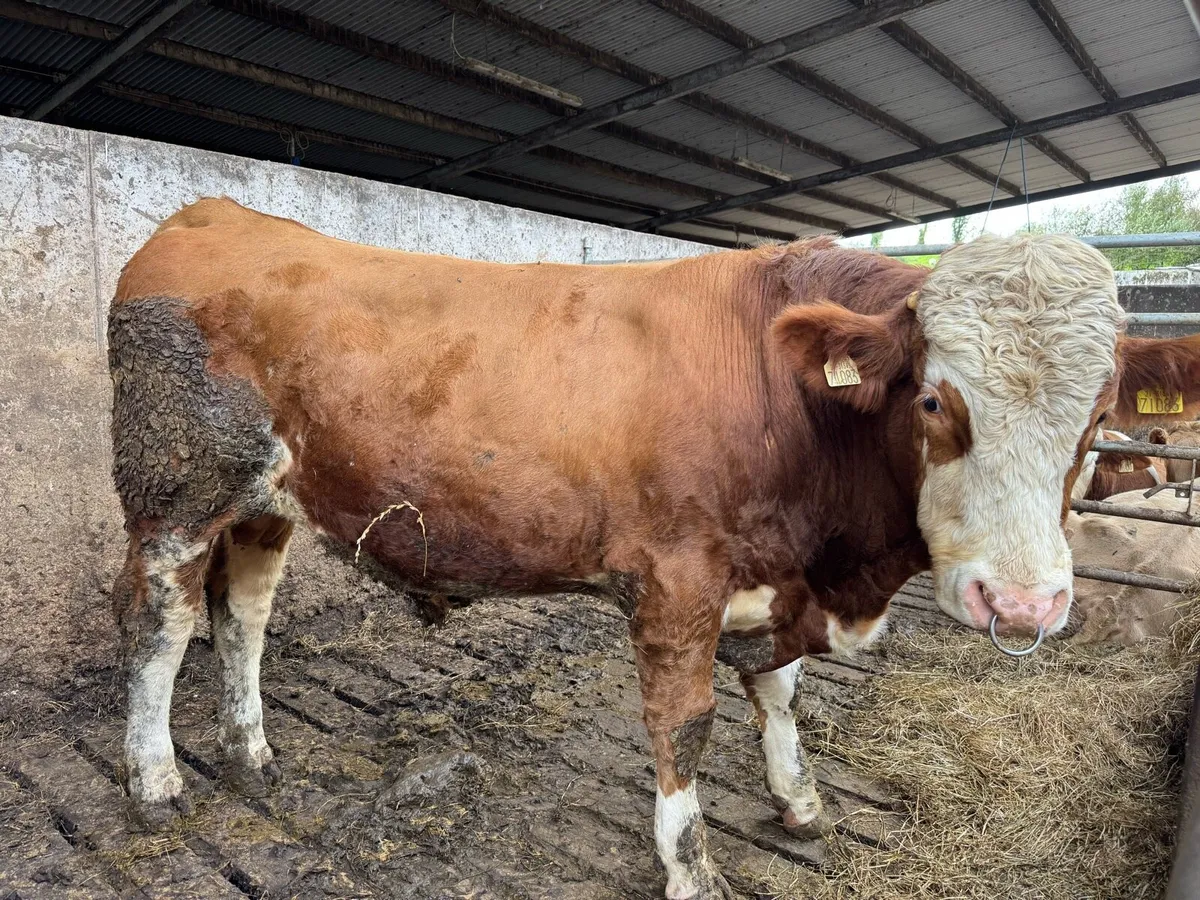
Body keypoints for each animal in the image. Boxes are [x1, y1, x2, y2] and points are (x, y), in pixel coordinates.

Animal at [107, 198, 1200, 899]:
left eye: (1099, 415)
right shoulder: (678, 580)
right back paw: (154, 779)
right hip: (174, 491)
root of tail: (216, 211)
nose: (1023, 607)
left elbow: (779, 696)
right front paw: (691, 868)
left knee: (244, 614)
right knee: (161, 623)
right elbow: (688, 726)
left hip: (267, 500)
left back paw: (250, 747)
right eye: (934, 400)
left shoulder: (772, 575)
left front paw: (800, 800)